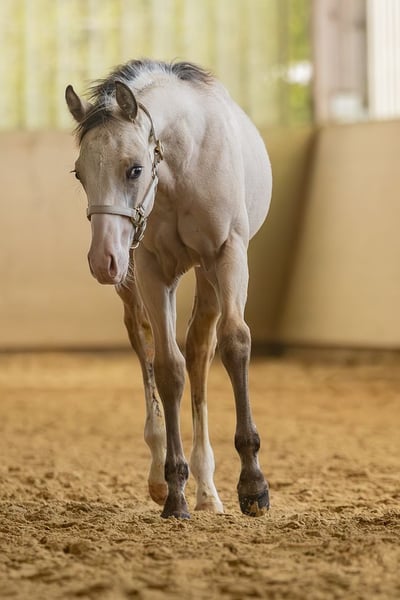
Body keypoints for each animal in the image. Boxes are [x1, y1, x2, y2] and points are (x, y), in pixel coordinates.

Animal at [65, 59, 272, 519]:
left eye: (135, 168)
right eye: (79, 173)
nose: (102, 260)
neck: (184, 163)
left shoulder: (229, 254)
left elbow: (234, 344)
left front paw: (253, 485)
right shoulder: (151, 270)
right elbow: (166, 368)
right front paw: (175, 490)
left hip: (209, 276)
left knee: (202, 349)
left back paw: (209, 490)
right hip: (134, 278)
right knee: (148, 345)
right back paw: (164, 476)